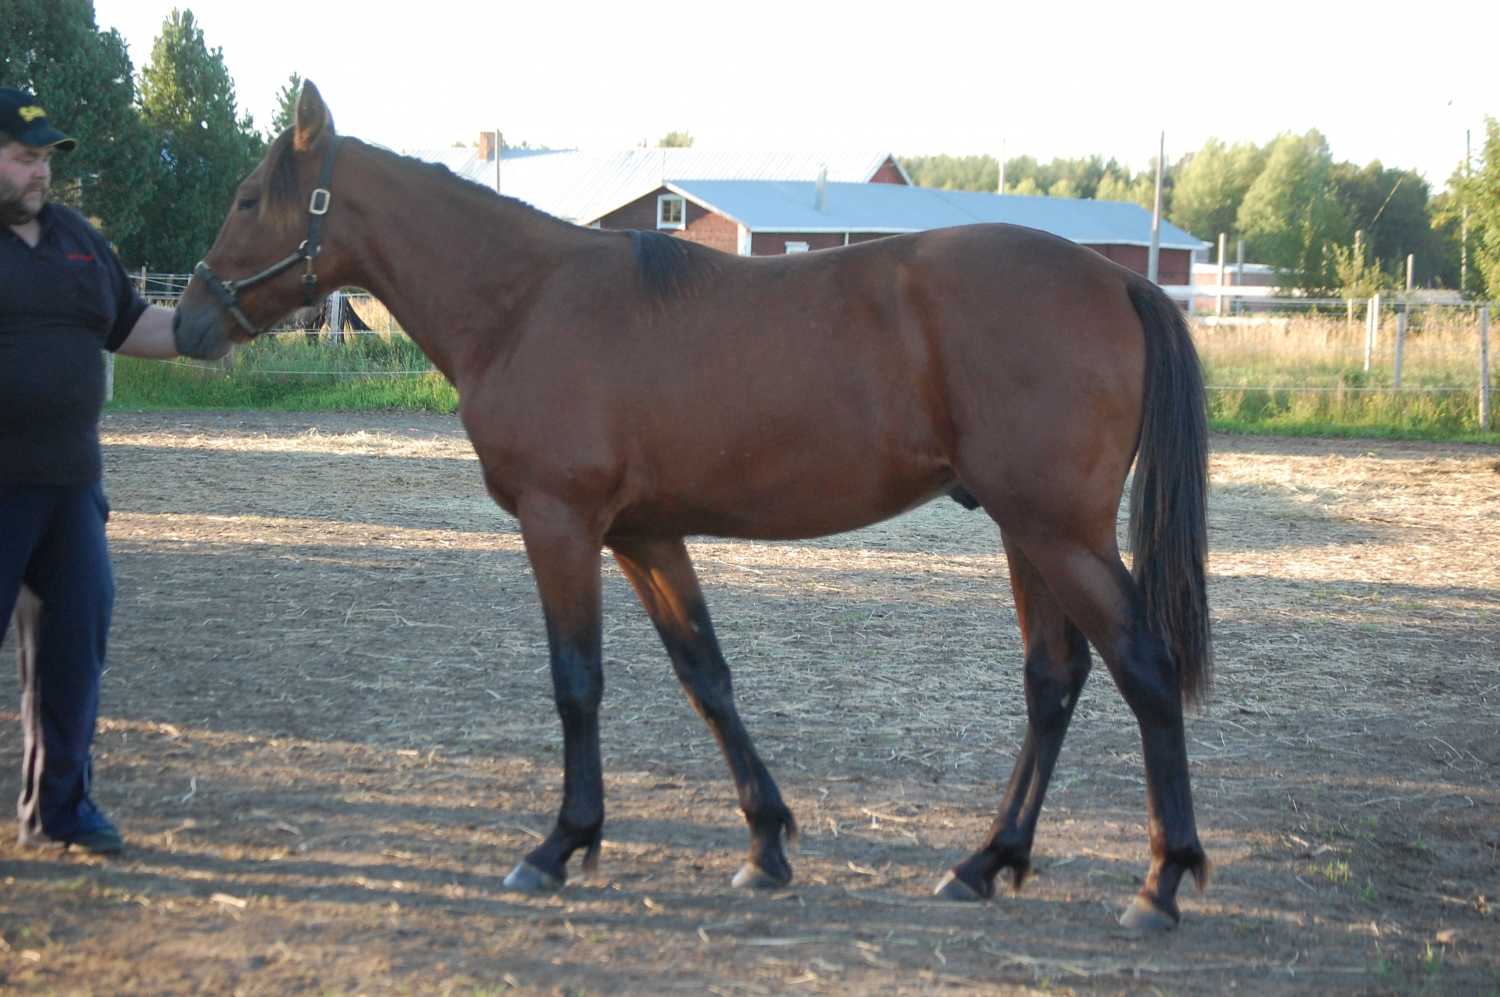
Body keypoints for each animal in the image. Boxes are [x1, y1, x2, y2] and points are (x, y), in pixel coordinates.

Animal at [174, 82, 1212, 932]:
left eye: (247, 199)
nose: (187, 320)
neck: (524, 302)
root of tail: (1120, 277)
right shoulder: (645, 535)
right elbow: (705, 676)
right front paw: (766, 842)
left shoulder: (561, 524)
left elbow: (577, 681)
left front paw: (561, 843)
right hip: (1025, 532)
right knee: (1053, 679)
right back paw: (986, 861)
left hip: (1056, 533)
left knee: (1143, 666)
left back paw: (1161, 881)